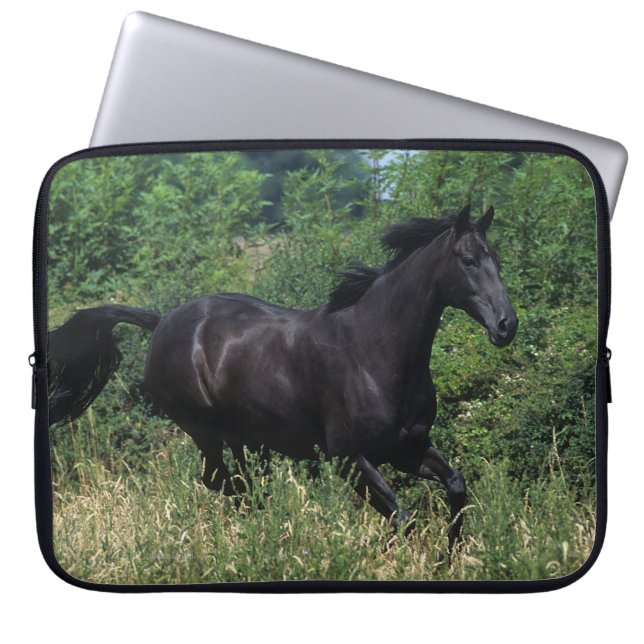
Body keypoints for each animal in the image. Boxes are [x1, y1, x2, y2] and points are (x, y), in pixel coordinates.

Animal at [48, 204, 517, 550]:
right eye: (469, 261)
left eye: (497, 259)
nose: (506, 325)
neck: (374, 351)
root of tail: (163, 322)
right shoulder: (350, 458)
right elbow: (402, 518)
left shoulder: (407, 447)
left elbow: (456, 487)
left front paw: (449, 557)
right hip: (206, 431)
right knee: (222, 482)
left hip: (245, 437)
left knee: (243, 484)